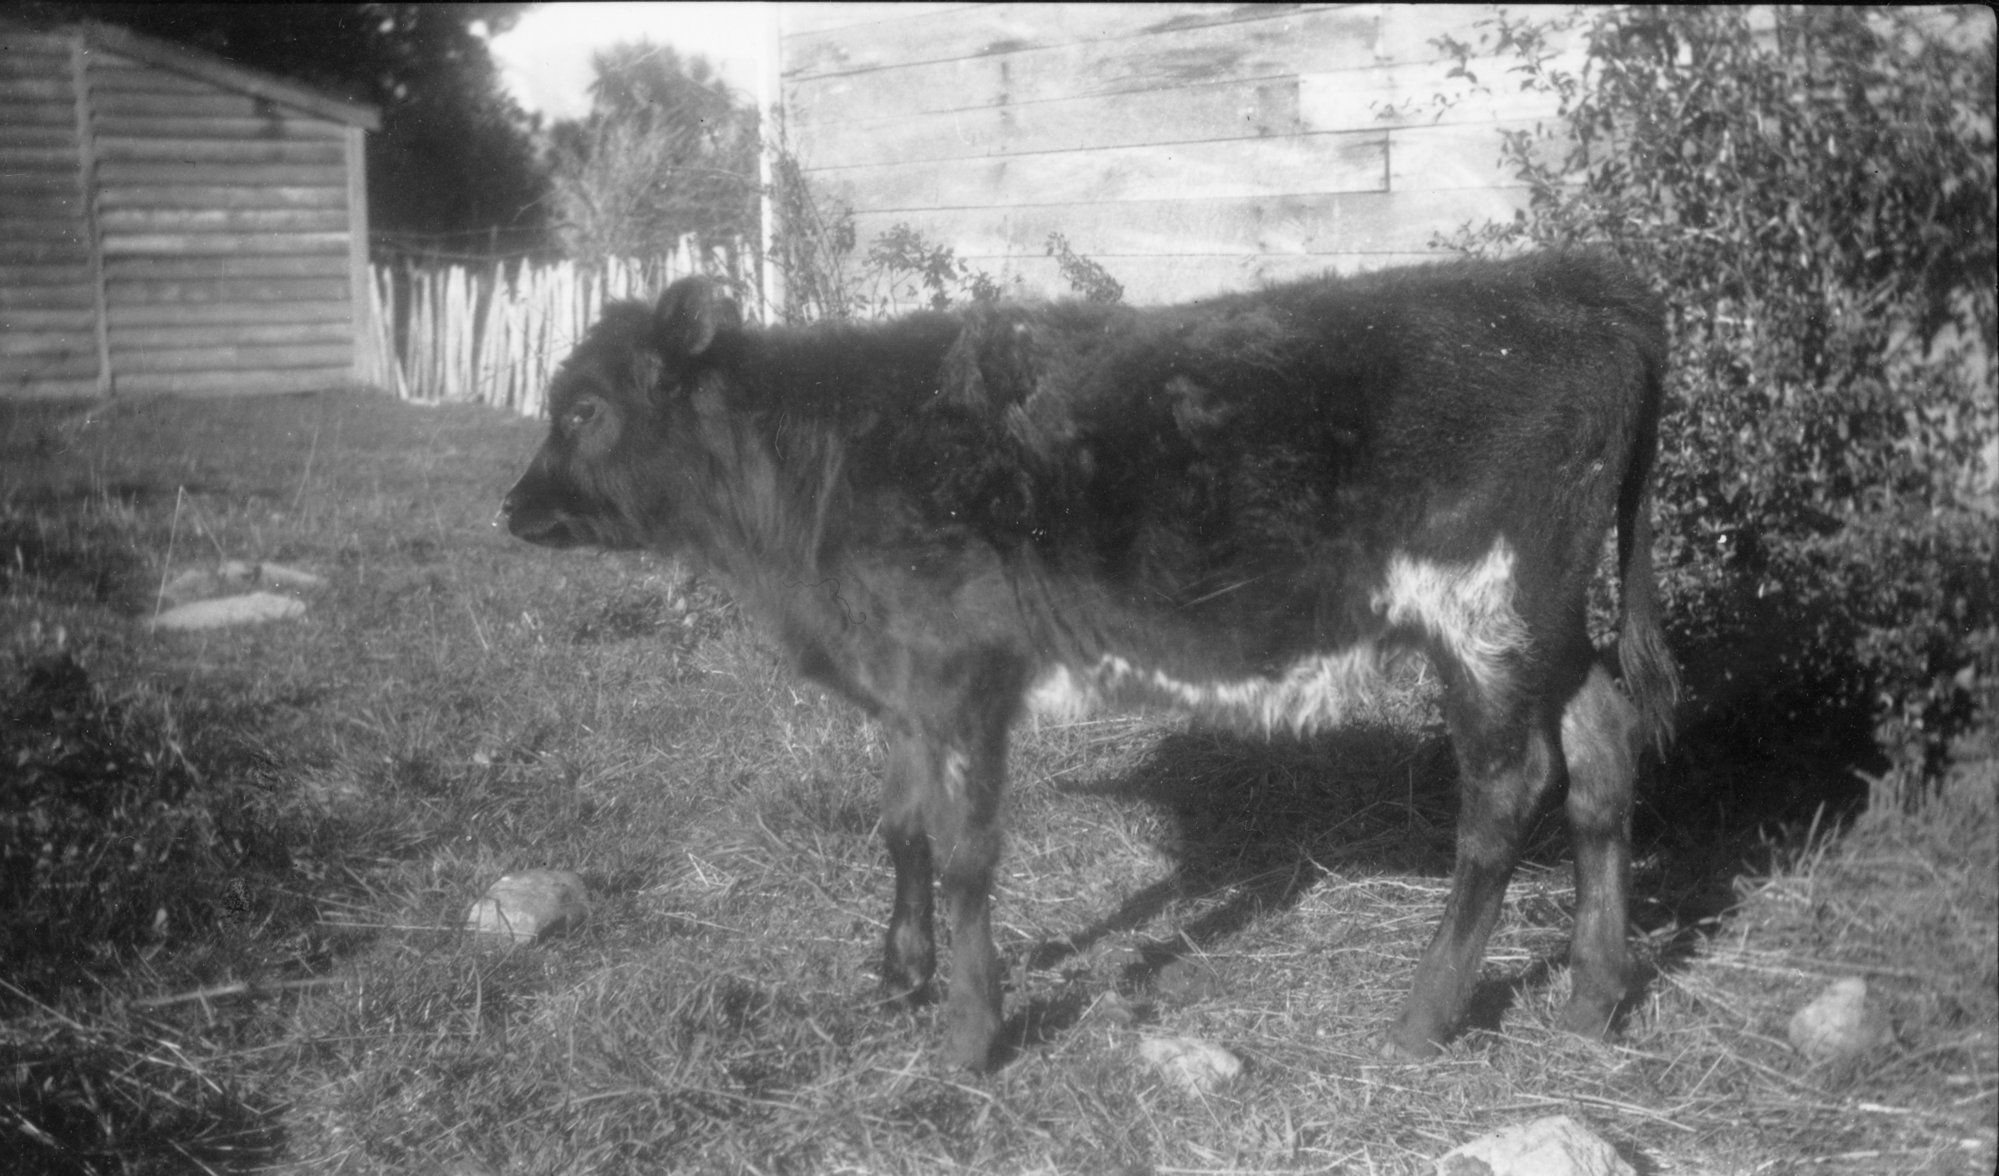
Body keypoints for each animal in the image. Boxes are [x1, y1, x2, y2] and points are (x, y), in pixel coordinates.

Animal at [501, 252, 1680, 1072]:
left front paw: (970, 1034)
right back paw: (1591, 996)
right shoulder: (903, 687)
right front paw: (899, 975)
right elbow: (901, 831)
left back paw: (1423, 1014)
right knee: (1602, 751)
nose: (511, 508)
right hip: (1548, 621)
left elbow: (965, 853)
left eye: (586, 408)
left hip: (1485, 609)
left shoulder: (962, 676)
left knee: (1508, 788)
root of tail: (1583, 278)